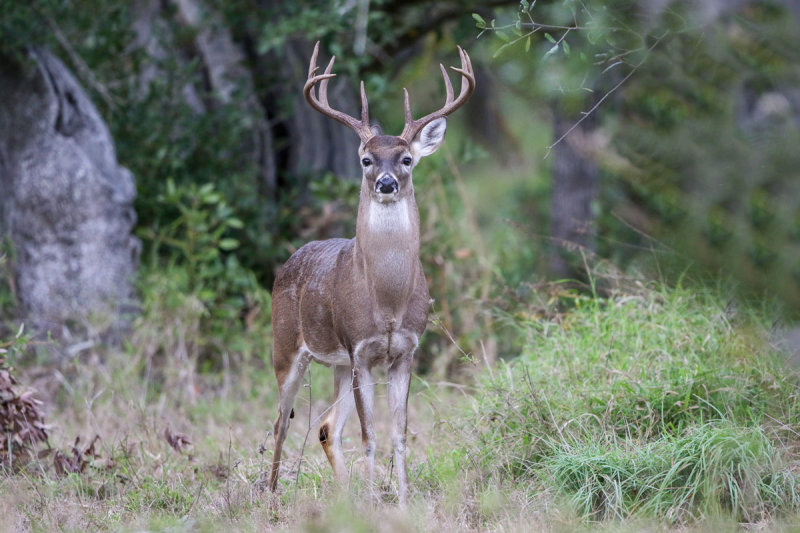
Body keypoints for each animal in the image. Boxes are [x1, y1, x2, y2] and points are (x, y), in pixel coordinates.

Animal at [268, 40, 476, 498]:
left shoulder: (405, 351)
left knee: (326, 426)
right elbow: (369, 435)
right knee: (281, 422)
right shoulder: (359, 349)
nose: (386, 183)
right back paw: (270, 492)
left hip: (337, 365)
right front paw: (371, 499)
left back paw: (342, 494)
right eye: (365, 159)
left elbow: (398, 433)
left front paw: (400, 499)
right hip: (286, 346)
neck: (387, 301)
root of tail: (287, 262)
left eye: (407, 159)